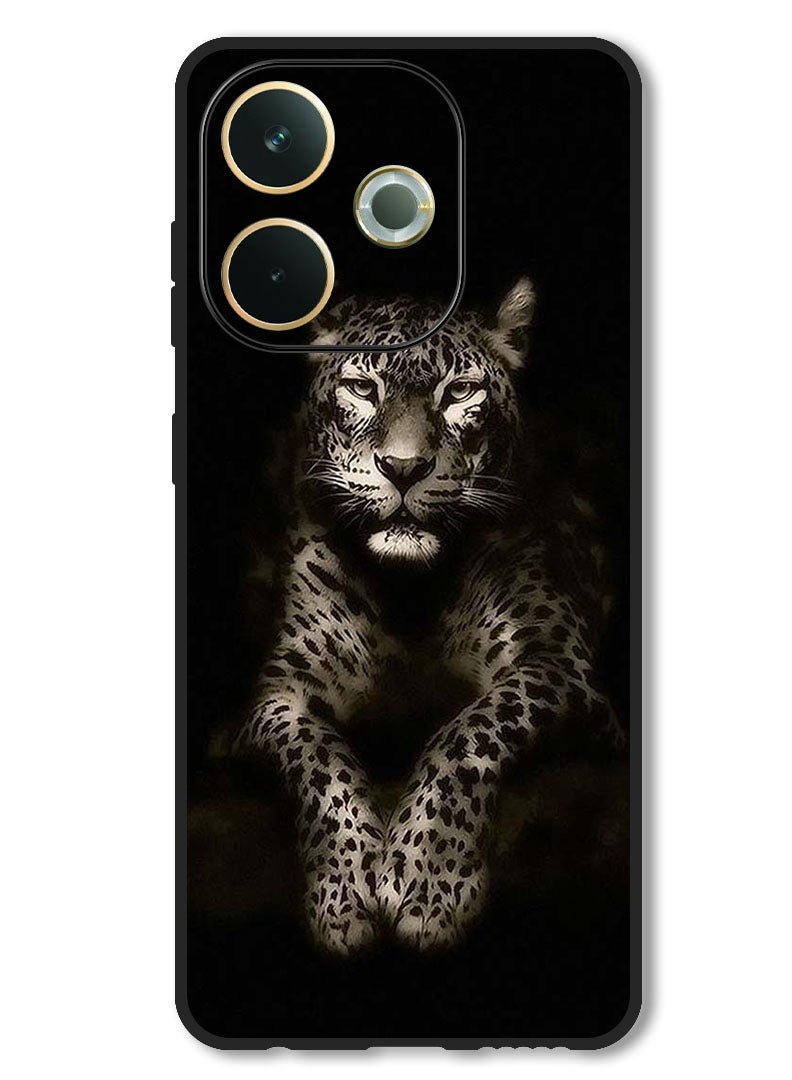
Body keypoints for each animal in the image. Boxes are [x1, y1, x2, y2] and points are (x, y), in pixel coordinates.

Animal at [234, 278, 624, 954]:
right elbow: (318, 759)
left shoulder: (559, 663)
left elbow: (468, 732)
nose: (404, 468)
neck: (409, 592)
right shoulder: (279, 693)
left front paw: (427, 882)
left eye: (460, 391)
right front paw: (344, 892)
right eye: (363, 388)